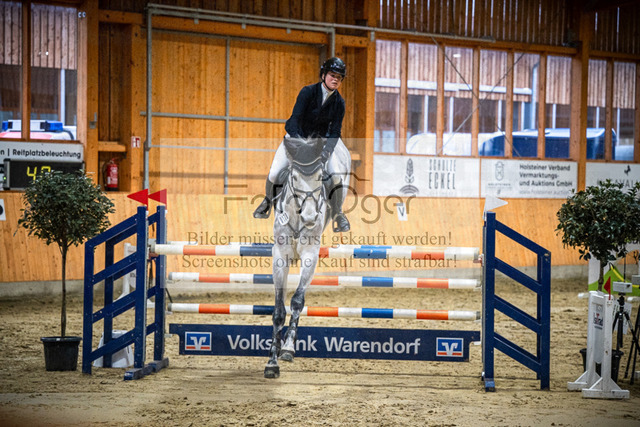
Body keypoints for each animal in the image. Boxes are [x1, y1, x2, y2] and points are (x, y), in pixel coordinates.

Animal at [264, 135, 351, 378]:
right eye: (293, 177)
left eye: (320, 177)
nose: (310, 217)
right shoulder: (280, 257)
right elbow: (278, 310)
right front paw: (271, 363)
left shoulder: (310, 255)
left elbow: (296, 301)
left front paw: (287, 348)